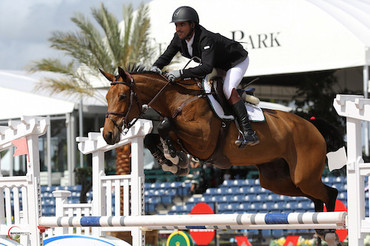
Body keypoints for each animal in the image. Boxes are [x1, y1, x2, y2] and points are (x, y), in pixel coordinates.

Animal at [99, 66, 340, 232]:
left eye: (122, 96)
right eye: (107, 97)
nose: (108, 135)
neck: (178, 98)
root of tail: (312, 126)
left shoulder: (203, 141)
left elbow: (166, 125)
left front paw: (175, 160)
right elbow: (153, 136)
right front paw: (173, 161)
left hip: (303, 175)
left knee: (330, 192)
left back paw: (330, 231)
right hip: (276, 180)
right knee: (316, 196)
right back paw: (323, 230)